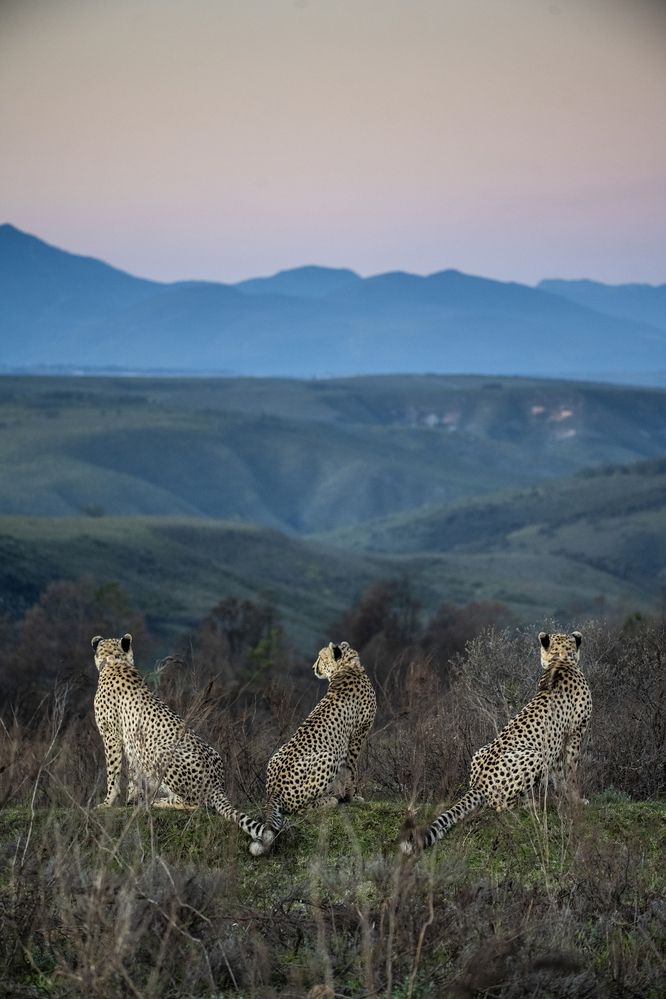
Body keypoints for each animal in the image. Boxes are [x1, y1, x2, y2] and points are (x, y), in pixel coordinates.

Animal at [91, 633, 265, 847]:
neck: (114, 661)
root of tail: (217, 783)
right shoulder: (132, 742)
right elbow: (133, 772)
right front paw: (131, 800)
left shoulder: (112, 736)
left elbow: (113, 773)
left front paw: (107, 802)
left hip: (161, 752)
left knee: (198, 804)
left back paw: (157, 802)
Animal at [249, 641, 376, 856]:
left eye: (321, 657)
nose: (313, 667)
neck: (346, 667)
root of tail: (273, 791)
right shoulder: (357, 736)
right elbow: (351, 771)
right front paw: (352, 798)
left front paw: (347, 796)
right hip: (328, 756)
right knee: (297, 809)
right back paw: (329, 801)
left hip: (277, 755)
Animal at [400, 630, 592, 854]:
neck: (561, 660)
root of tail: (478, 784)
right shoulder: (575, 733)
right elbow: (571, 772)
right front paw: (576, 800)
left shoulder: (558, 743)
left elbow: (559, 775)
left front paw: (564, 798)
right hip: (534, 756)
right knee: (500, 806)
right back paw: (530, 805)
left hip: (480, 751)